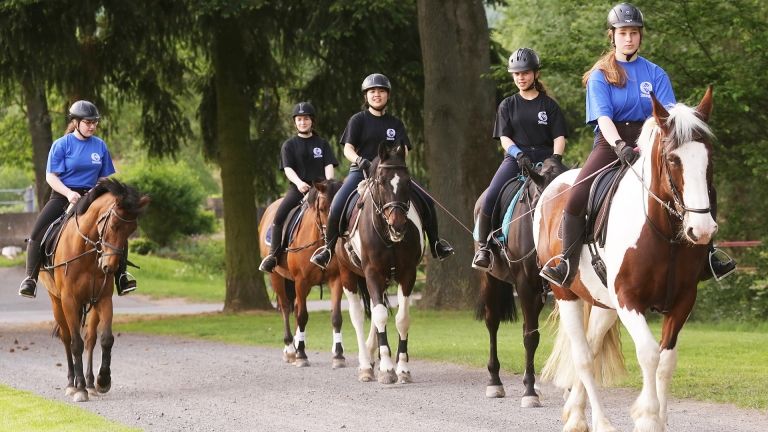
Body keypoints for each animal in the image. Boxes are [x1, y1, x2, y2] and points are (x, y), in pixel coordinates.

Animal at [38, 178, 149, 402]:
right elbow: (76, 343)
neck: (87, 252)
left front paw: (103, 380)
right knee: (67, 338)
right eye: (114, 225)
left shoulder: (103, 298)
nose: (110, 266)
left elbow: (105, 339)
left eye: (132, 229)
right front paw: (79, 389)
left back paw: (90, 383)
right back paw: (72, 383)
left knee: (90, 339)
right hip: (57, 302)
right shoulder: (69, 300)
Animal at [258, 179, 344, 367]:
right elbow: (302, 316)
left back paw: (296, 346)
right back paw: (291, 350)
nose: (331, 237)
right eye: (322, 208)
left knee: (295, 306)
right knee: (285, 307)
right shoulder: (301, 281)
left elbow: (336, 317)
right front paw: (302, 355)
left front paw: (338, 355)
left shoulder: (336, 280)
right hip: (276, 277)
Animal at [335, 140, 425, 384]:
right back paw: (366, 365)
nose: (398, 225)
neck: (387, 235)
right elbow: (380, 315)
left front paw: (402, 368)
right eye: (382, 182)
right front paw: (386, 368)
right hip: (347, 275)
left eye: (407, 181)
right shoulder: (372, 273)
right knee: (358, 316)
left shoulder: (408, 274)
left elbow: (402, 318)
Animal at [473, 157, 568, 407]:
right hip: (491, 279)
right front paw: (530, 392)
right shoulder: (525, 285)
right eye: (543, 204)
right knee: (492, 322)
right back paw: (495, 382)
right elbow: (530, 337)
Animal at [533, 88, 717, 431]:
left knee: (591, 349)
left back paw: (576, 413)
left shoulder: (683, 300)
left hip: (604, 304)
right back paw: (597, 422)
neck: (663, 234)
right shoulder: (629, 299)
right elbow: (648, 354)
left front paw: (658, 419)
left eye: (709, 158)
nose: (701, 230)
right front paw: (647, 417)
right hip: (566, 294)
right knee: (583, 357)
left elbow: (666, 360)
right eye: (673, 159)